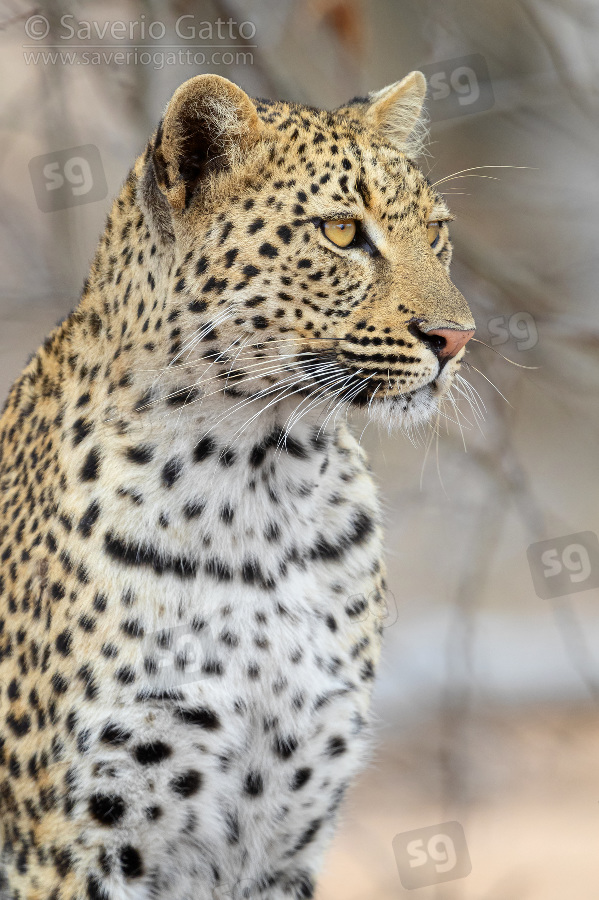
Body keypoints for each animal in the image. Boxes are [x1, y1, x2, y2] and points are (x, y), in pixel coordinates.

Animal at [0, 72, 476, 900]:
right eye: (341, 233)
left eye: (435, 232)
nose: (457, 337)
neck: (262, 486)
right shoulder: (72, 844)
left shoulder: (284, 835)